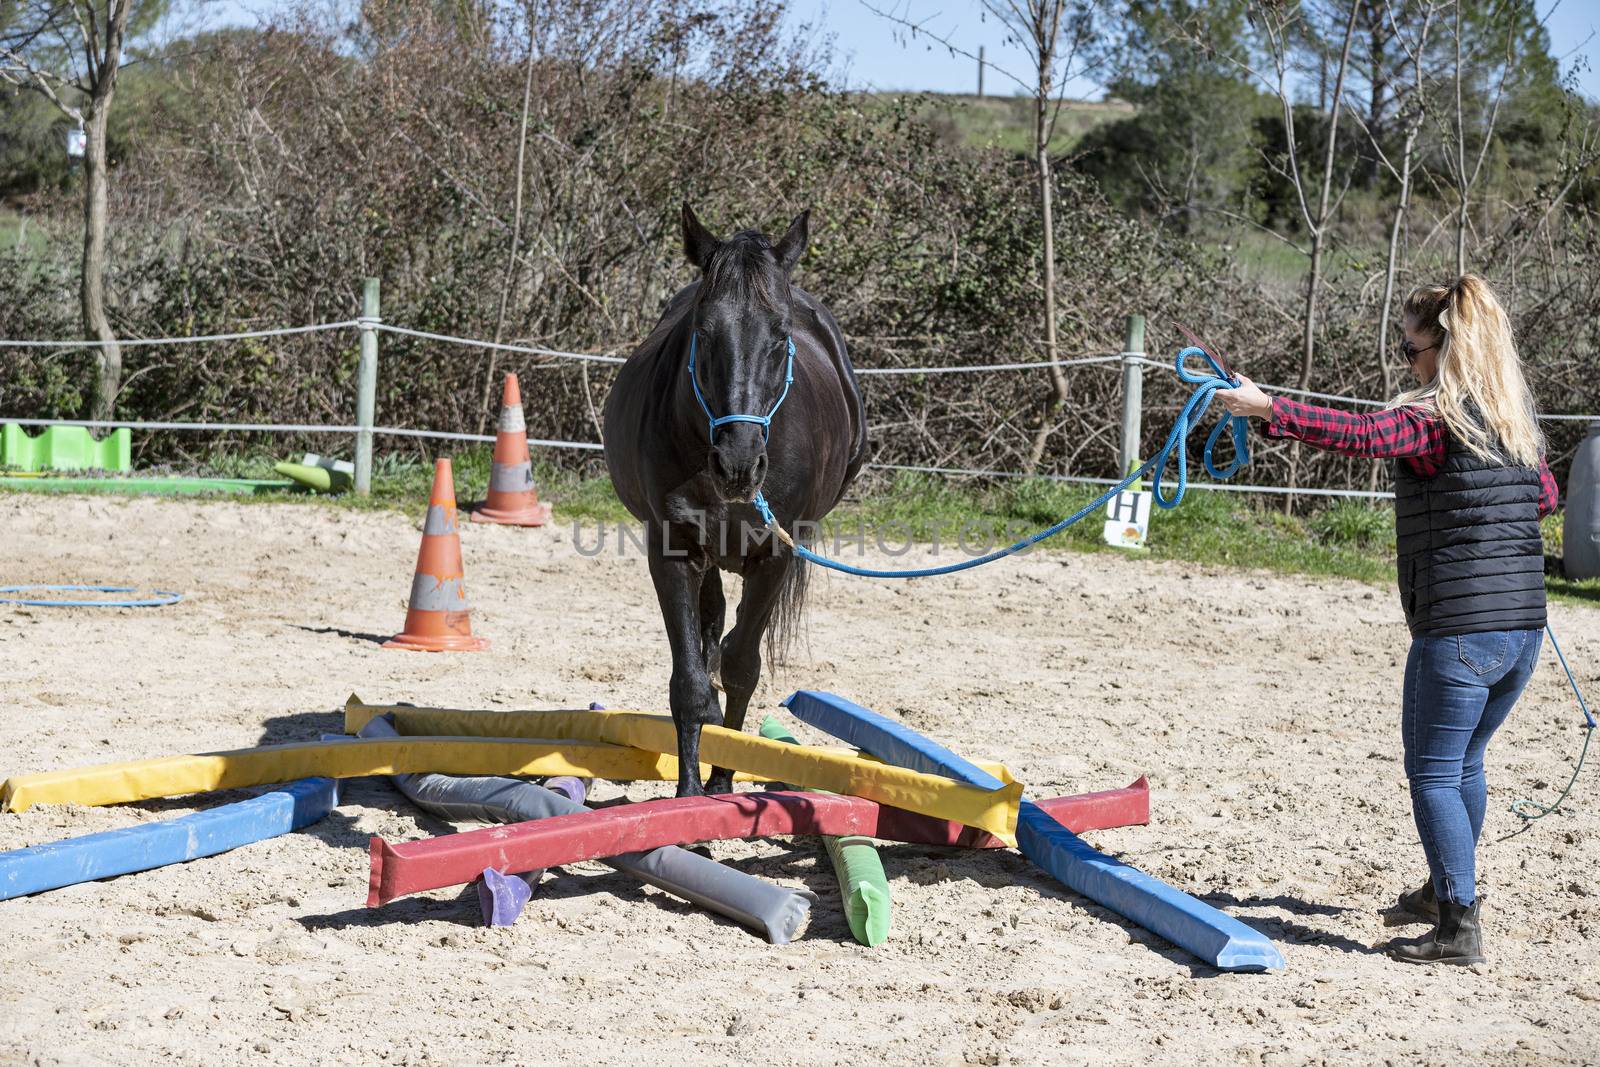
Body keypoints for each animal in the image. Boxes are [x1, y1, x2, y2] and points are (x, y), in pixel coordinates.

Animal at [604, 206, 870, 793]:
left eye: (781, 334)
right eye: (703, 332)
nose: (739, 463)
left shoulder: (776, 555)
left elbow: (743, 667)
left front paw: (723, 782)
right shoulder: (673, 551)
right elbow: (690, 681)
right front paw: (687, 793)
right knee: (710, 633)